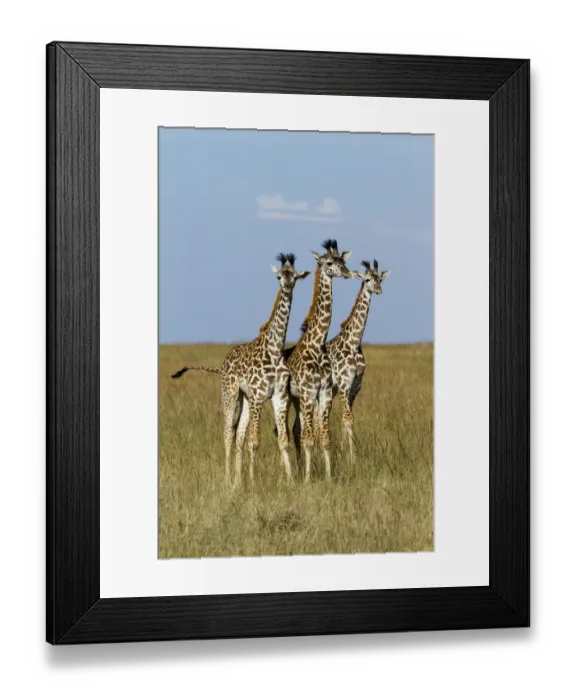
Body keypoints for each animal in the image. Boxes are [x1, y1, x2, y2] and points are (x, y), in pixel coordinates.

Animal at [171, 253, 310, 487]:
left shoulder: (279, 396)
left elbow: (282, 439)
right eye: (278, 276)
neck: (274, 348)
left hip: (244, 398)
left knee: (238, 436)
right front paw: (253, 482)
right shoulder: (258, 396)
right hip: (231, 395)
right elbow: (254, 441)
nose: (287, 285)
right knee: (228, 433)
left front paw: (290, 480)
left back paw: (237, 479)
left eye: (295, 277)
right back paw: (229, 479)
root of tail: (223, 363)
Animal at [284, 239, 352, 483]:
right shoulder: (307, 392)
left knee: (296, 430)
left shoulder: (323, 392)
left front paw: (328, 478)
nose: (347, 273)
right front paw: (306, 480)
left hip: (298, 400)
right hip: (289, 397)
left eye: (343, 261)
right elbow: (310, 438)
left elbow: (324, 436)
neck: (317, 343)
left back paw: (297, 468)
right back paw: (291, 472)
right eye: (330, 263)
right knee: (286, 431)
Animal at [324, 259, 391, 463]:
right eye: (367, 279)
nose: (378, 289)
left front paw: (344, 454)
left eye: (380, 279)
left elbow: (346, 418)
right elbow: (347, 419)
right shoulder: (344, 382)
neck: (353, 342)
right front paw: (353, 458)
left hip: (331, 389)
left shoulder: (355, 384)